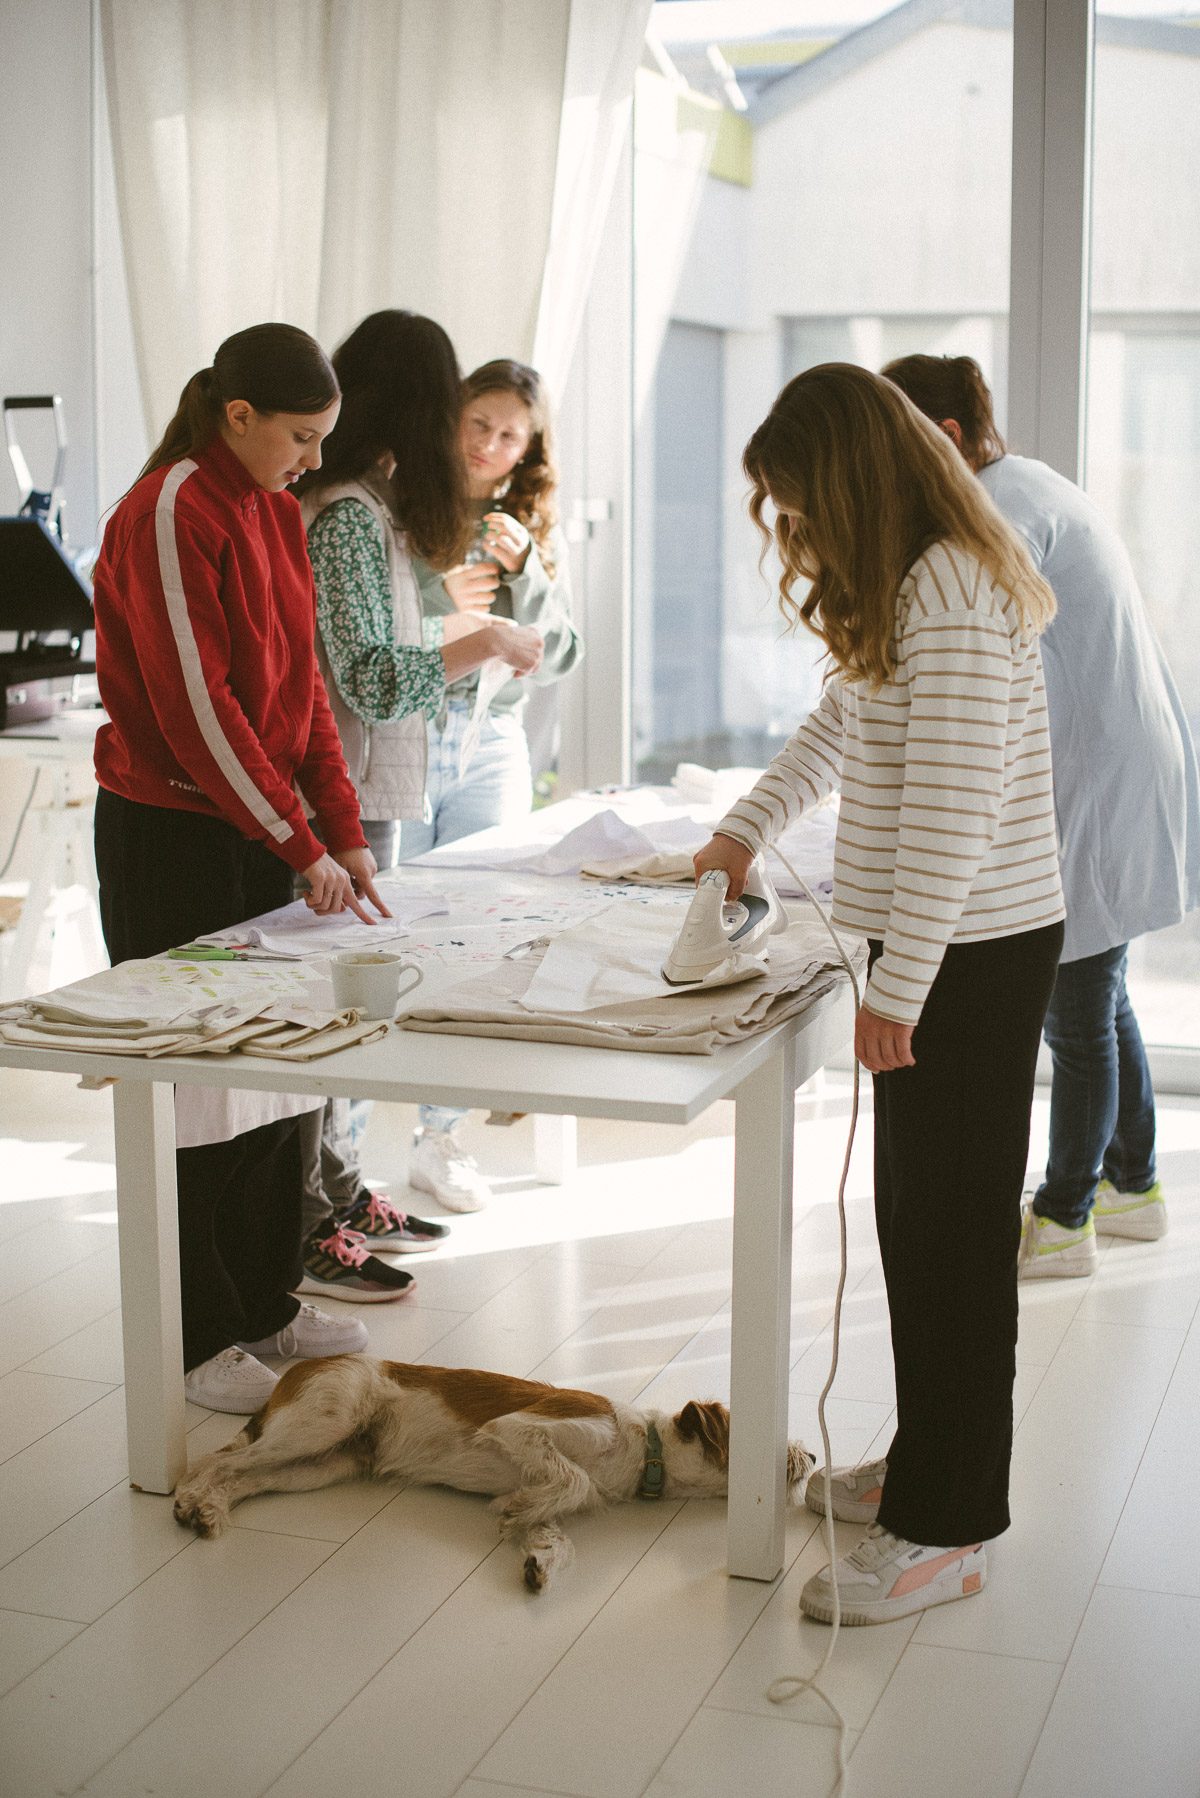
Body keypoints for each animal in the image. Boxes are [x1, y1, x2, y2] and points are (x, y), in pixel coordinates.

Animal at [176, 1352, 816, 1596]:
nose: (811, 1459)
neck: (643, 1448)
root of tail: (296, 1371)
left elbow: (555, 1527)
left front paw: (537, 1557)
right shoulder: (517, 1428)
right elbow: (572, 1479)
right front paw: (513, 1510)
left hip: (321, 1464)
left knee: (243, 1479)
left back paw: (211, 1510)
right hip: (324, 1420)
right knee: (214, 1461)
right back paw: (187, 1501)